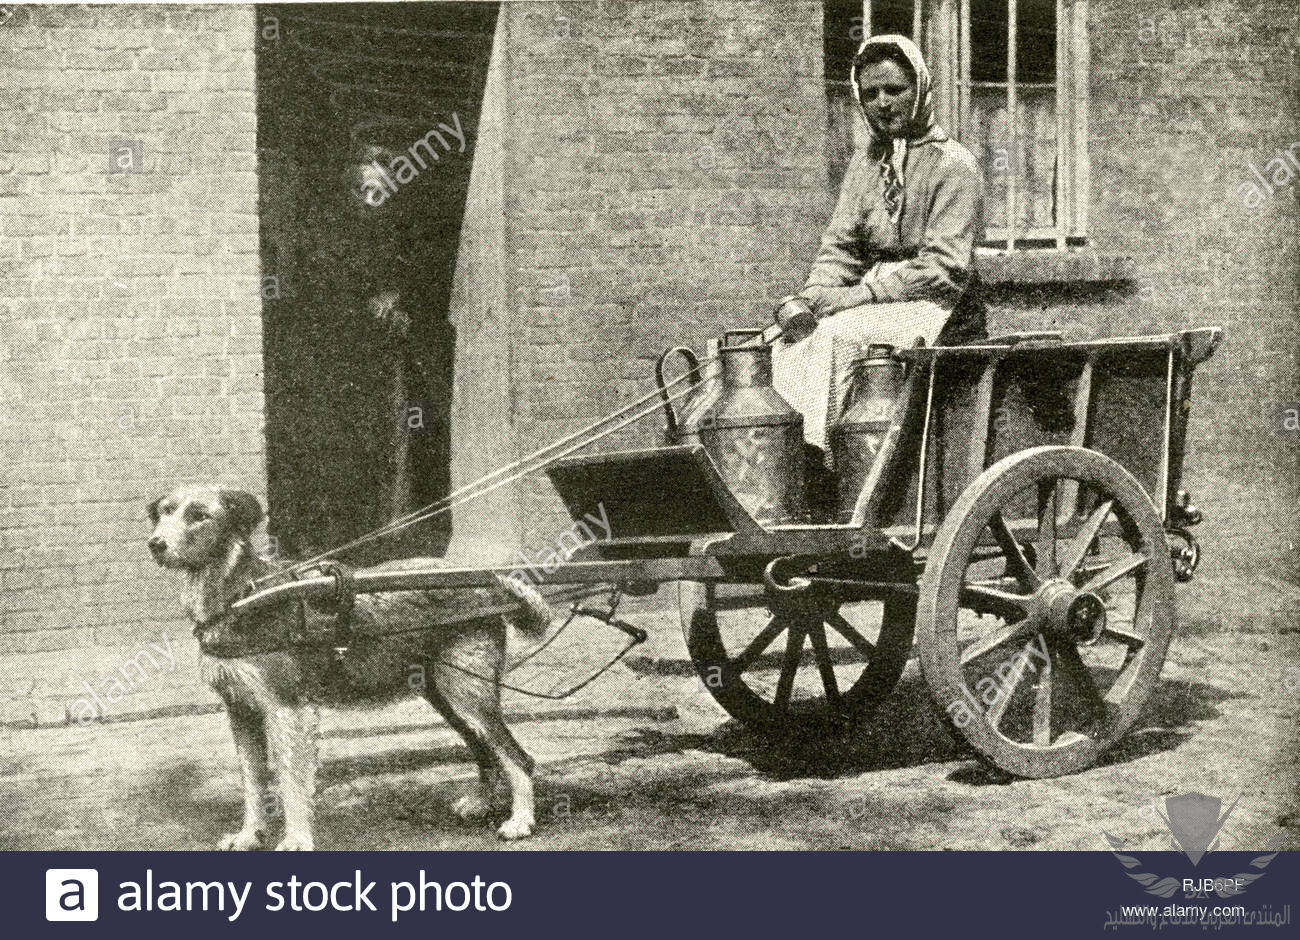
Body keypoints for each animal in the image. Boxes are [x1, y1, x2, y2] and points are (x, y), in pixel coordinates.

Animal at [146, 488, 548, 847]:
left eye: (199, 515)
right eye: (164, 512)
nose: (155, 543)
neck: (243, 595)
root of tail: (490, 582)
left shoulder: (289, 710)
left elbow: (292, 782)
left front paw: (296, 841)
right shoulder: (241, 710)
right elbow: (254, 782)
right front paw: (249, 835)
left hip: (468, 693)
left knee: (517, 756)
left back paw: (520, 820)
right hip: (444, 695)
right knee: (485, 749)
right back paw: (482, 802)